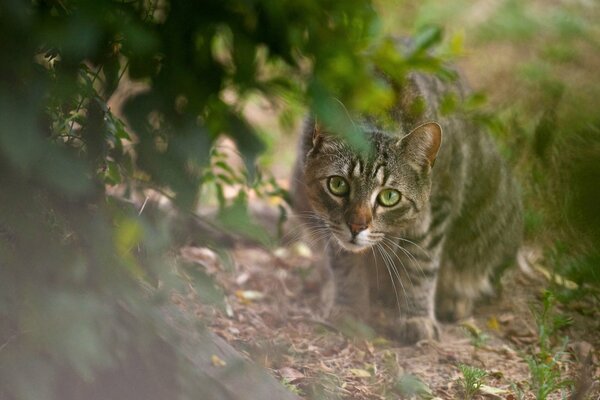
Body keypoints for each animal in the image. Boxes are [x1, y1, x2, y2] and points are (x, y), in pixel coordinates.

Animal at [292, 67, 524, 342]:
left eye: (389, 197)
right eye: (338, 185)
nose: (356, 226)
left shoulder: (438, 209)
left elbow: (421, 263)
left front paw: (417, 317)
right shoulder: (325, 218)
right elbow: (344, 263)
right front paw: (349, 307)